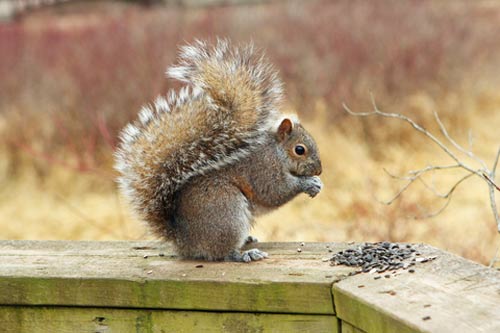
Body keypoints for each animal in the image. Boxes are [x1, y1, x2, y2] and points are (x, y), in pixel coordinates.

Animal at [114, 39, 322, 262]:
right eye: (299, 149)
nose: (319, 171)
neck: (276, 151)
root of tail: (184, 241)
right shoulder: (263, 168)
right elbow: (274, 191)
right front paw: (308, 183)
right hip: (227, 210)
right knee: (222, 253)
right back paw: (245, 254)